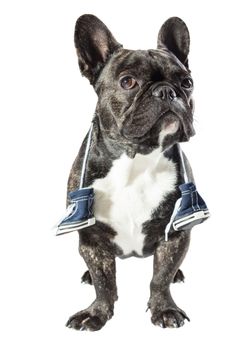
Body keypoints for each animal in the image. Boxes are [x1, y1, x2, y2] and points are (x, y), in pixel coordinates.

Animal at [64, 14, 196, 330]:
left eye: (187, 82)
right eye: (128, 82)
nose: (166, 90)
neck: (138, 159)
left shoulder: (176, 233)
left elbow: (160, 278)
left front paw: (165, 308)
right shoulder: (90, 237)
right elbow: (104, 281)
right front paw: (96, 312)